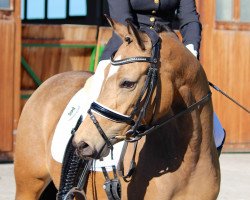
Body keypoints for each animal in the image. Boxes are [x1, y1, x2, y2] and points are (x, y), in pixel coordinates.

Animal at [14, 17, 220, 200]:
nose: (81, 143)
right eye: (106, 75)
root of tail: (49, 81)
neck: (190, 159)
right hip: (28, 186)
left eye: (128, 83)